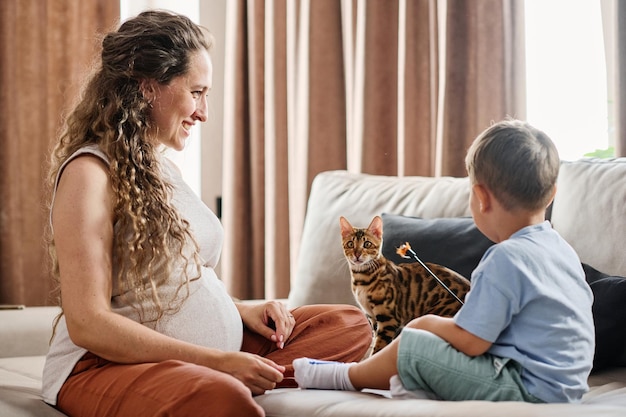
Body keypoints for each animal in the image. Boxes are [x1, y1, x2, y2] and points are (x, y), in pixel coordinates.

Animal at [342, 214, 468, 354]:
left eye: (367, 244)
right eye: (350, 244)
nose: (357, 254)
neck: (361, 279)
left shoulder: (389, 318)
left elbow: (379, 346)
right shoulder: (371, 317)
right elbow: (375, 339)